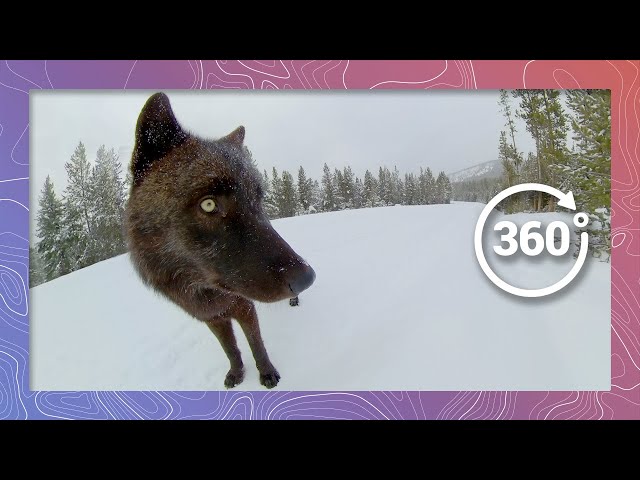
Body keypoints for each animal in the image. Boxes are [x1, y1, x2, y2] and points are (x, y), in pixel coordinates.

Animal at [124, 93, 316, 389]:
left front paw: (267, 373)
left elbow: (256, 345)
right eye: (209, 204)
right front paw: (237, 374)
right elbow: (231, 349)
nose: (306, 279)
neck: (203, 291)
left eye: (257, 199)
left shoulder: (245, 307)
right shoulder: (211, 318)